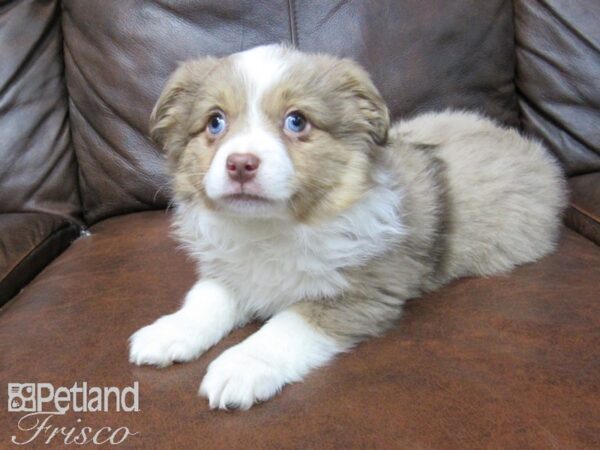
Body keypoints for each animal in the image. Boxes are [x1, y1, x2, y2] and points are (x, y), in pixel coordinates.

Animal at [127, 44, 568, 410]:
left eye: (297, 121)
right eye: (215, 122)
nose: (240, 164)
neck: (272, 228)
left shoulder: (360, 292)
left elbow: (286, 326)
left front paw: (241, 367)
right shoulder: (231, 270)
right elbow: (205, 299)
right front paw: (167, 332)